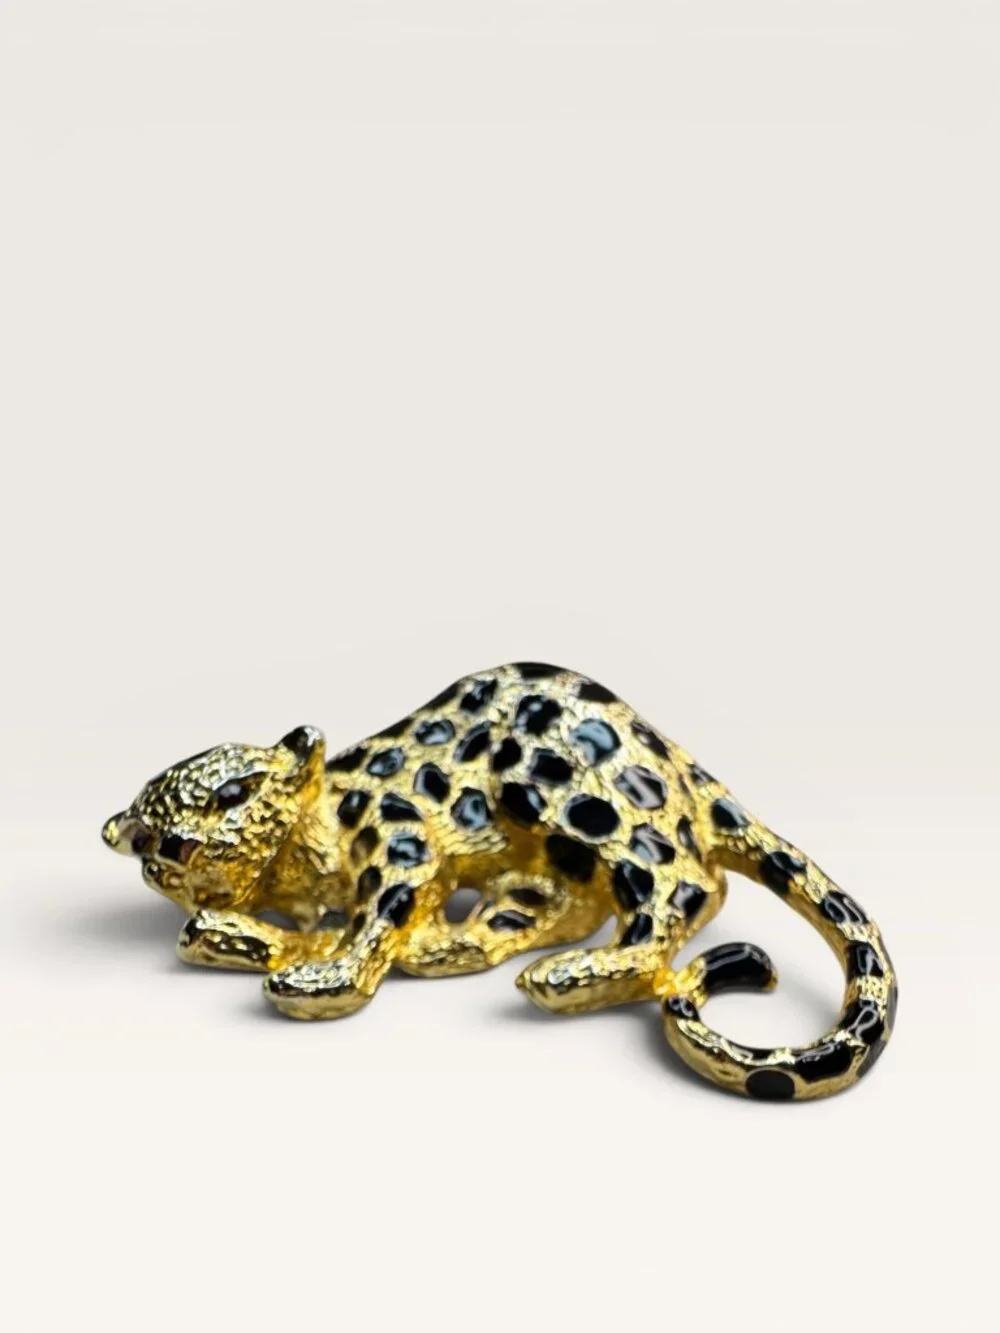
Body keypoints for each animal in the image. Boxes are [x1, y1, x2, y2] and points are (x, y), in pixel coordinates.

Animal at [102, 661, 897, 1100]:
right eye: (149, 837)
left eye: (234, 792)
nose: (180, 844)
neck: (296, 870)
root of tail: (671, 750)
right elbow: (217, 931)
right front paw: (249, 937)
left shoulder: (403, 845)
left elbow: (372, 923)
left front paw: (328, 976)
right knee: (574, 899)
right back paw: (473, 940)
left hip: (561, 792)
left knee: (682, 882)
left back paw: (575, 971)